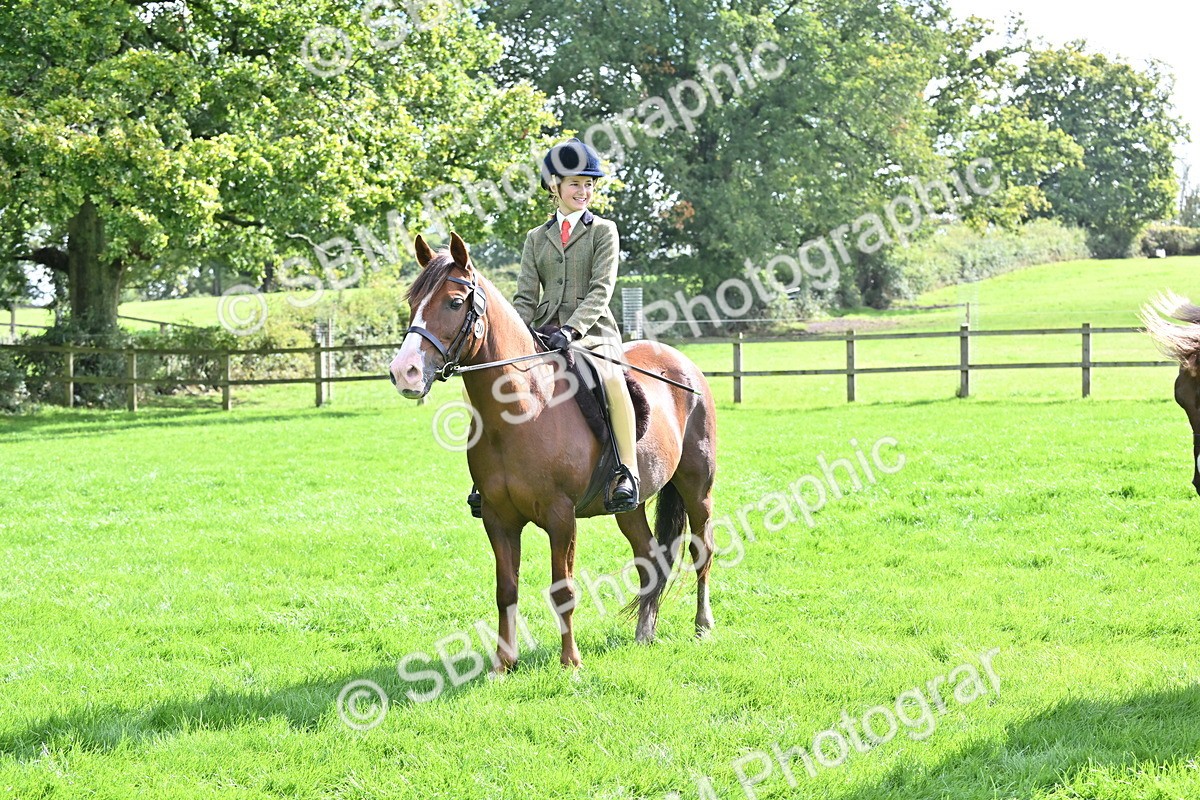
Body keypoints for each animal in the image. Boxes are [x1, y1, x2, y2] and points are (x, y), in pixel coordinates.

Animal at [389, 233, 718, 670]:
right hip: (628, 508)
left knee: (702, 550)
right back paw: (644, 633)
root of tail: (681, 361)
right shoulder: (497, 518)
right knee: (650, 558)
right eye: (412, 302)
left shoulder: (561, 517)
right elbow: (506, 590)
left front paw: (570, 663)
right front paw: (502, 665)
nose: (404, 372)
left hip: (697, 488)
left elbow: (563, 590)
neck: (523, 408)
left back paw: (703, 626)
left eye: (455, 303)